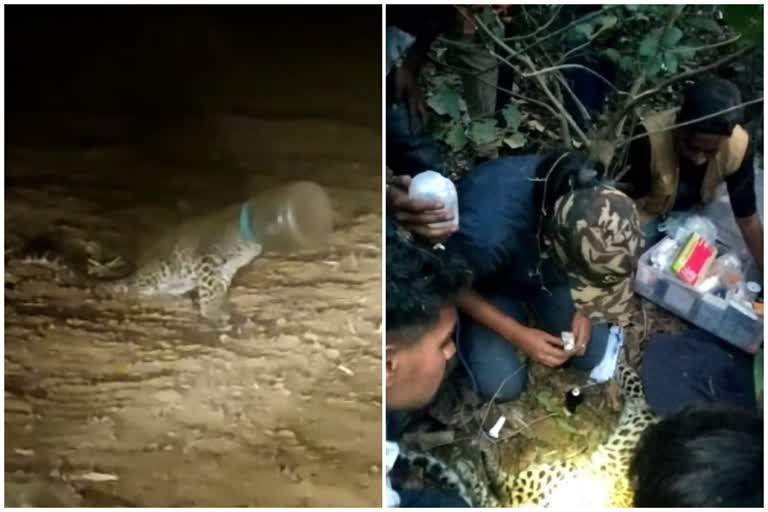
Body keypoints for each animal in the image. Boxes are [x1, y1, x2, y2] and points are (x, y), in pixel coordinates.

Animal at [400, 364, 656, 508]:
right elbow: (634, 380)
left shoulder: (639, 405)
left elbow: (633, 380)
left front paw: (620, 364)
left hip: (550, 473)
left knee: (497, 484)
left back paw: (483, 452)